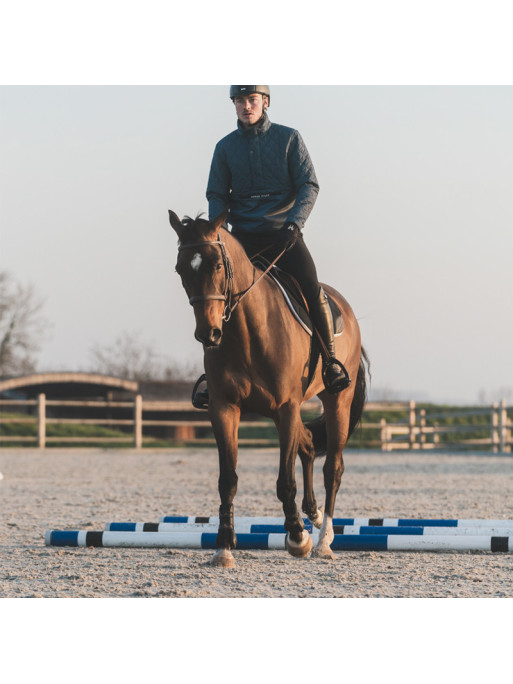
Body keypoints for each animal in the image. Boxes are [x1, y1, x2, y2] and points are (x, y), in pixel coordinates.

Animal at [169, 210, 369, 567]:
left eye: (217, 265)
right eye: (180, 269)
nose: (209, 333)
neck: (247, 332)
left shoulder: (285, 409)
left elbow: (284, 481)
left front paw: (297, 538)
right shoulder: (224, 409)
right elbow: (227, 479)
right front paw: (224, 547)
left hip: (337, 401)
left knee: (333, 467)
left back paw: (323, 539)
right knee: (308, 445)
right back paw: (314, 514)